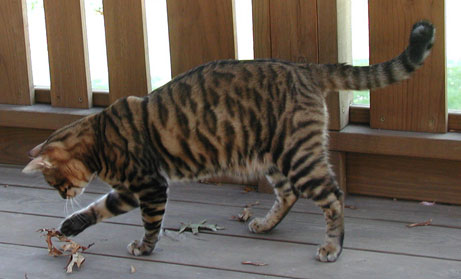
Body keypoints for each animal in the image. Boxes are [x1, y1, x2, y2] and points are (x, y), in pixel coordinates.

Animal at [22, 21, 434, 262]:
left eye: (55, 182)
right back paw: (266, 224)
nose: (61, 195)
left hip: (298, 155)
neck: (99, 138)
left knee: (333, 196)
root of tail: (305, 68)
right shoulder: (129, 189)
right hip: (276, 155)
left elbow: (150, 224)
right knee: (288, 194)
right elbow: (97, 209)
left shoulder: (149, 185)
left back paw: (333, 246)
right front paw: (71, 225)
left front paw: (144, 247)